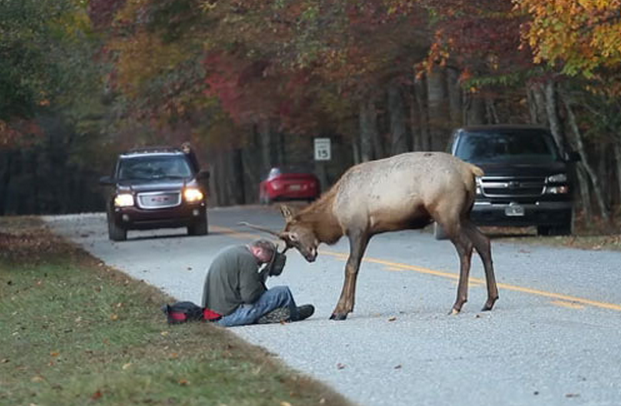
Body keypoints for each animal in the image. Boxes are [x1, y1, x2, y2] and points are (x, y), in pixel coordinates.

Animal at [242, 151, 498, 318]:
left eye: (293, 237)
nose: (309, 256)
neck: (334, 214)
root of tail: (470, 170)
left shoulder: (357, 228)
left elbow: (350, 266)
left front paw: (339, 310)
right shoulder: (367, 232)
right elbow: (356, 266)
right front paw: (348, 306)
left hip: (446, 212)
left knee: (466, 248)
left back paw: (457, 304)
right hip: (464, 214)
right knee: (484, 242)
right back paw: (489, 300)